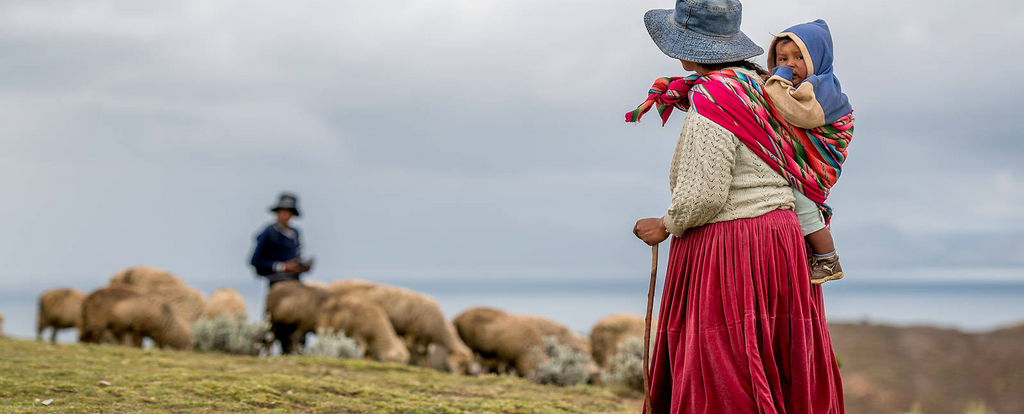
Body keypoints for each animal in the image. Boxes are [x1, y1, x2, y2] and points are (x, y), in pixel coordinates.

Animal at [327, 280, 475, 375]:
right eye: (461, 363)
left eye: (466, 364)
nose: (460, 375)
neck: (438, 328)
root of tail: (334, 283)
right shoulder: (411, 334)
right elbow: (413, 352)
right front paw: (415, 366)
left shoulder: (424, 339)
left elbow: (425, 354)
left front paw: (428, 367)